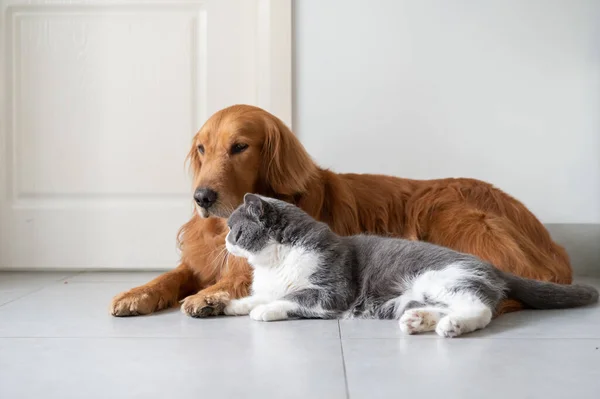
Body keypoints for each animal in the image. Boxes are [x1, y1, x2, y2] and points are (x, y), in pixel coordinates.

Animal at [110, 104, 576, 318]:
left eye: (239, 147)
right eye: (202, 149)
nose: (202, 197)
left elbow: (240, 276)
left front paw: (209, 296)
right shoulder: (199, 257)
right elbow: (173, 275)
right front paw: (137, 293)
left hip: (450, 210)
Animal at [223, 194, 596, 338]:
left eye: (234, 229)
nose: (224, 240)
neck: (273, 262)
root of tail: (491, 266)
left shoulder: (333, 290)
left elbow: (292, 298)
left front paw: (263, 311)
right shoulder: (273, 283)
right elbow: (261, 294)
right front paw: (234, 305)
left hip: (441, 278)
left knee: (481, 308)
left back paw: (453, 326)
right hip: (413, 296)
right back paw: (419, 321)